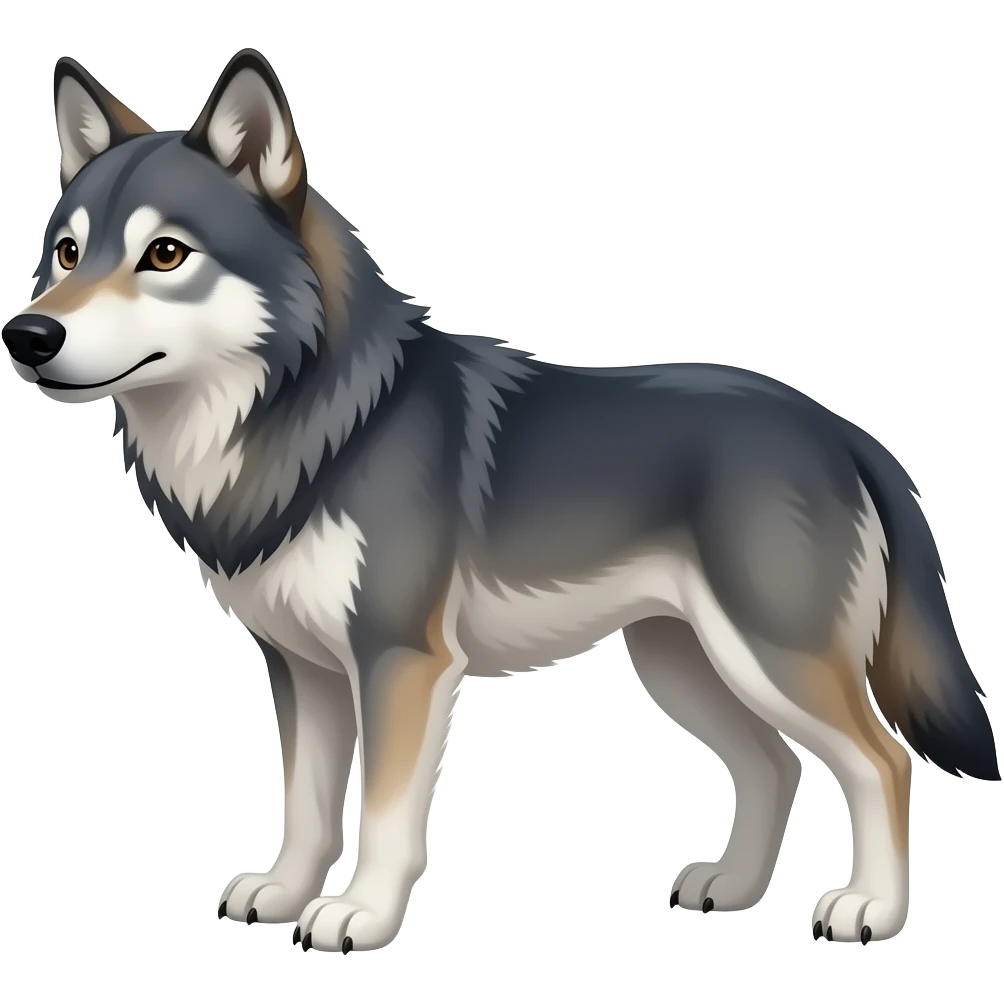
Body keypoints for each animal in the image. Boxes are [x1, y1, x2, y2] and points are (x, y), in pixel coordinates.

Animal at [3, 48, 998, 954]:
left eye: (164, 254)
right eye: (65, 253)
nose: (27, 334)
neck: (312, 422)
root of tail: (842, 430)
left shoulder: (400, 662)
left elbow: (386, 814)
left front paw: (361, 916)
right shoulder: (304, 671)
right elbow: (309, 807)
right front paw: (286, 894)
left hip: (768, 657)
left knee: (881, 762)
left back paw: (870, 910)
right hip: (683, 664)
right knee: (777, 765)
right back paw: (734, 888)